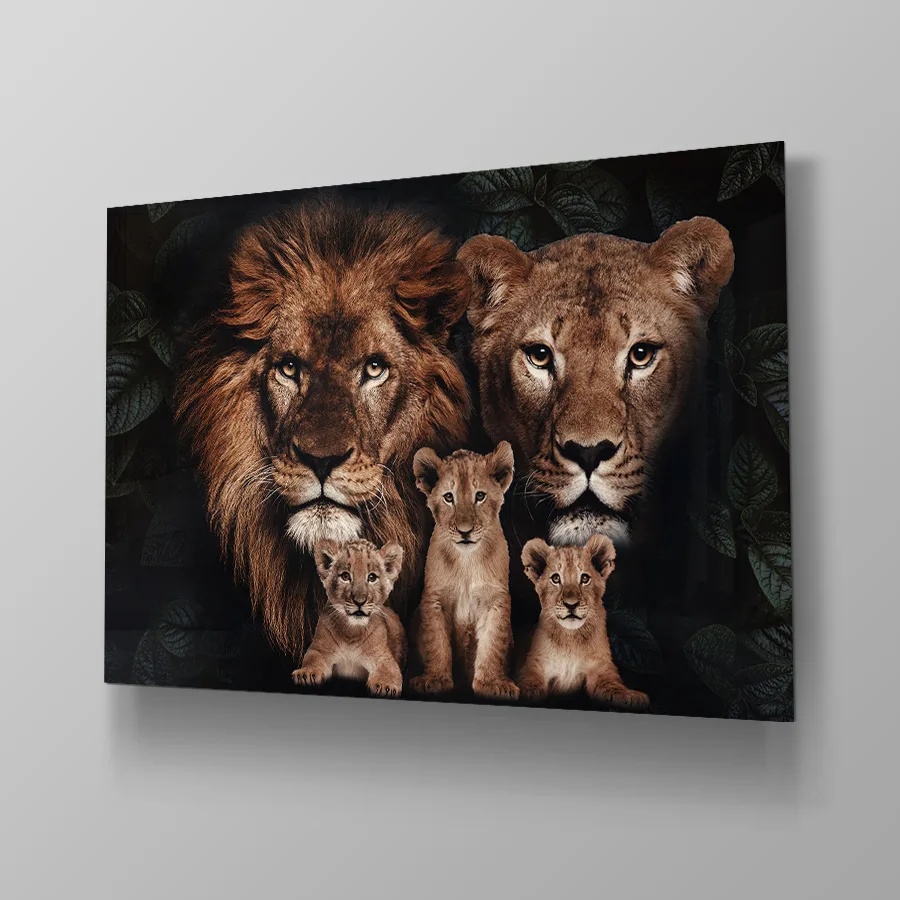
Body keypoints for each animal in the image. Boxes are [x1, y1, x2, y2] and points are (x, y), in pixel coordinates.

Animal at [291, 539, 407, 698]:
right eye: (345, 576)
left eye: (372, 577)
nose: (359, 601)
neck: (351, 632)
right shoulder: (320, 650)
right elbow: (312, 659)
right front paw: (306, 674)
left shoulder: (384, 657)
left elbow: (389, 671)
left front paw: (385, 686)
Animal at [409, 442, 519, 701]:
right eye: (449, 497)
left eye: (480, 496)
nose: (465, 531)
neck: (466, 562)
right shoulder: (434, 598)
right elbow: (436, 642)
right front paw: (435, 680)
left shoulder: (495, 600)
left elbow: (492, 644)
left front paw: (491, 684)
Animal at [518, 534, 649, 710]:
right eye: (555, 578)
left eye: (585, 578)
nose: (571, 604)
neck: (570, 639)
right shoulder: (535, 664)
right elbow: (529, 681)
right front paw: (528, 693)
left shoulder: (601, 667)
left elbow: (613, 686)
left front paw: (632, 696)